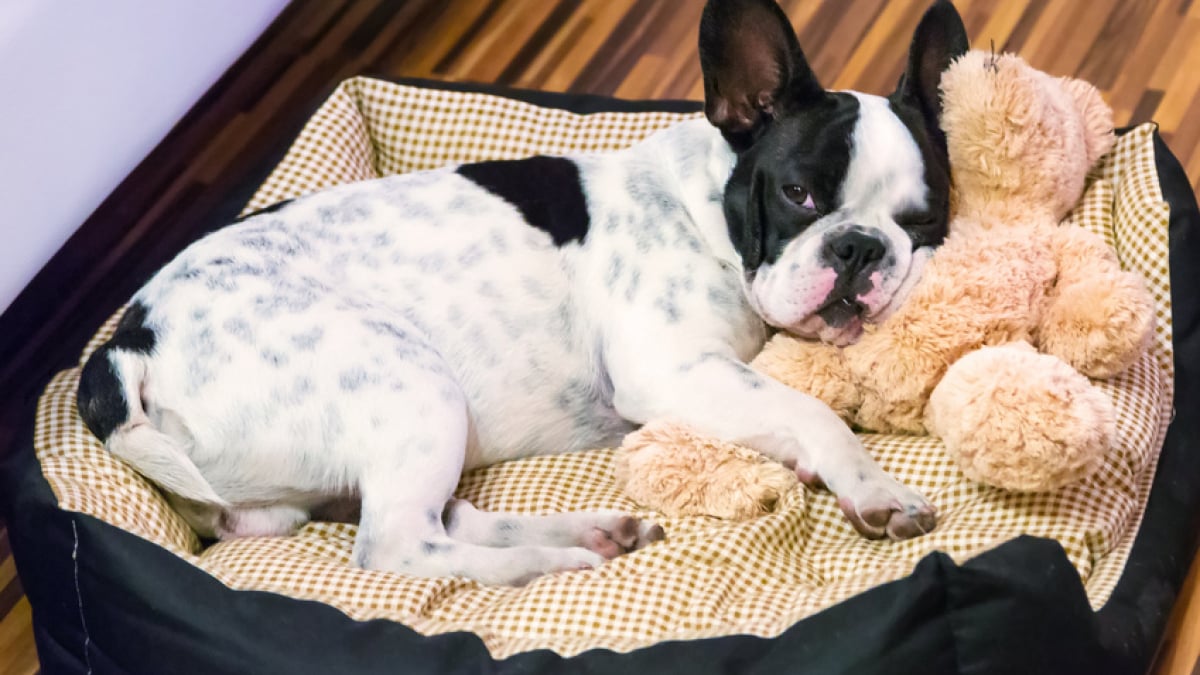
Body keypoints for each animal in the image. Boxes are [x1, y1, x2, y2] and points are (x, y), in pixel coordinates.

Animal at [75, 0, 969, 583]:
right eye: (799, 195)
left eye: (924, 220)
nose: (860, 249)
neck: (703, 207)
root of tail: (127, 342)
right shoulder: (675, 371)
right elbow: (811, 411)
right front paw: (875, 489)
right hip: (410, 379)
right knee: (398, 544)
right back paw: (556, 559)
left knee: (438, 517)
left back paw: (595, 530)